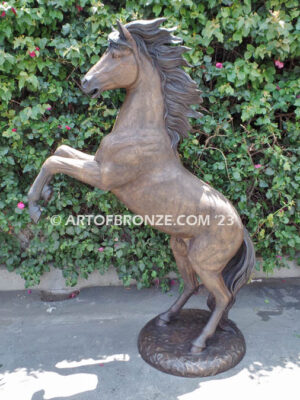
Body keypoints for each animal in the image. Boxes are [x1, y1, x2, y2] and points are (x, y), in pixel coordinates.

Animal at [27, 18, 255, 354]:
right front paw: (44, 194)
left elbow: (53, 160)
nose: (85, 82)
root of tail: (241, 230)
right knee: (194, 287)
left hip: (206, 262)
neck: (141, 131)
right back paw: (167, 319)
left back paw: (198, 343)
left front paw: (34, 206)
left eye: (116, 54)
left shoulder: (104, 177)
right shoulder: (97, 163)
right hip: (180, 249)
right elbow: (62, 150)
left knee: (223, 296)